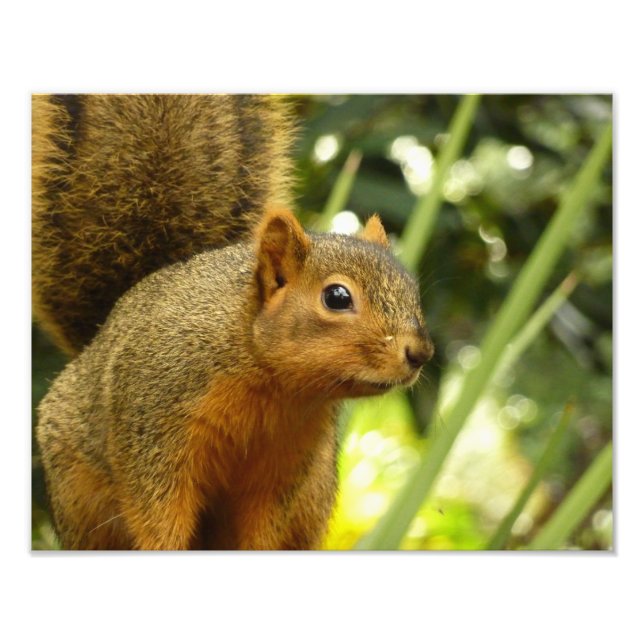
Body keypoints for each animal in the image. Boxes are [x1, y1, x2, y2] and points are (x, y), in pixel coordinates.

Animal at [33, 94, 434, 550]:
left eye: (412, 290)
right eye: (337, 297)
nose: (420, 353)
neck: (271, 384)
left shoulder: (284, 467)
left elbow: (262, 527)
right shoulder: (153, 427)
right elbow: (157, 513)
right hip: (78, 493)